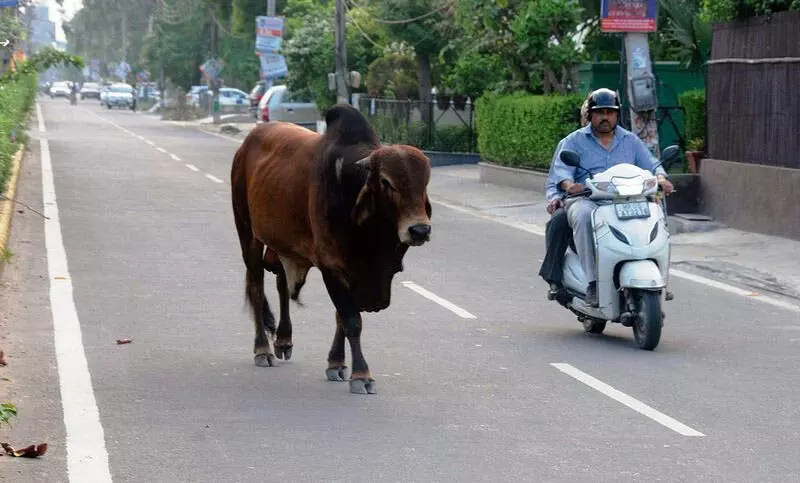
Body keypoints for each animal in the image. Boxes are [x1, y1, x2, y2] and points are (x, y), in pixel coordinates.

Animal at [230, 104, 432, 396]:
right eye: (386, 182)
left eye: (425, 182)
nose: (419, 230)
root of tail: (245, 145)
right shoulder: (332, 267)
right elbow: (351, 320)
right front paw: (361, 375)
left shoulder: (356, 274)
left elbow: (341, 318)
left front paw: (336, 363)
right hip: (248, 233)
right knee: (257, 286)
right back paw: (263, 350)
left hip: (284, 246)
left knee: (281, 285)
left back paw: (283, 341)